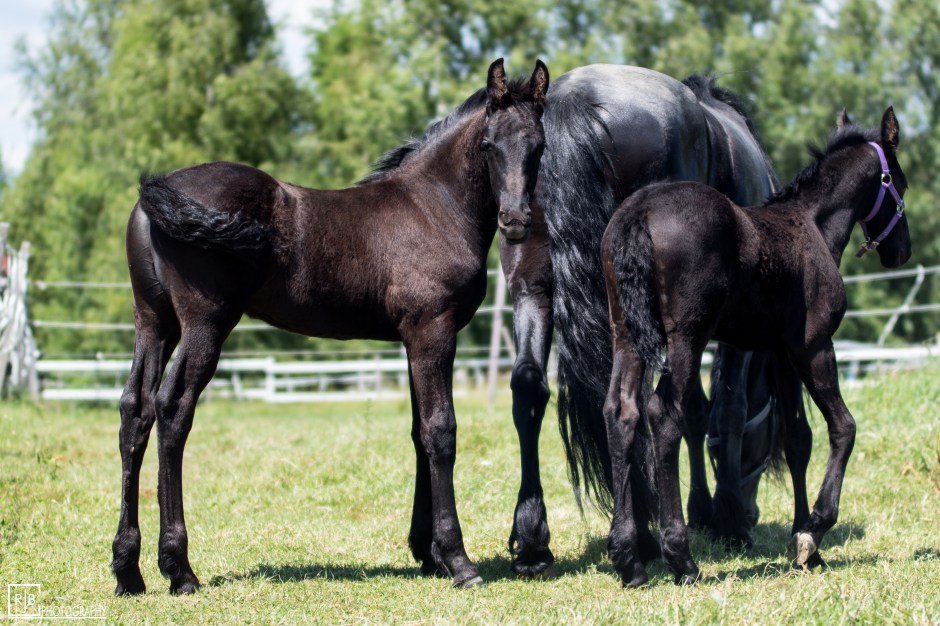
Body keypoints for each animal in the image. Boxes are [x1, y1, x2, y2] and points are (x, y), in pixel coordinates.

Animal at [110, 58, 550, 595]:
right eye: (489, 144)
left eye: (538, 145)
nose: (516, 221)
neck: (434, 206)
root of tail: (155, 194)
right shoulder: (433, 331)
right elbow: (441, 430)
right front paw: (458, 561)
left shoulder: (411, 339)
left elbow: (417, 433)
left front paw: (427, 554)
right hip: (205, 321)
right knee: (173, 409)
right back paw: (179, 569)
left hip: (154, 322)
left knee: (135, 411)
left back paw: (128, 570)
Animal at [498, 65, 791, 575]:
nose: (754, 509)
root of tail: (571, 102)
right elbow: (727, 408)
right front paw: (727, 519)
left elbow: (695, 411)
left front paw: (702, 511)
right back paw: (645, 540)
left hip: (532, 289)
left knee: (530, 388)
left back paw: (535, 541)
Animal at [599, 107, 910, 586]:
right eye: (900, 183)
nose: (902, 250)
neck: (813, 224)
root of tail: (638, 212)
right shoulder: (814, 347)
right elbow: (843, 427)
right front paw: (815, 527)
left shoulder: (781, 354)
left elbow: (798, 439)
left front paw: (807, 547)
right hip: (686, 337)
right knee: (663, 416)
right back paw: (681, 558)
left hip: (627, 334)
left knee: (622, 412)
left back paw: (628, 557)